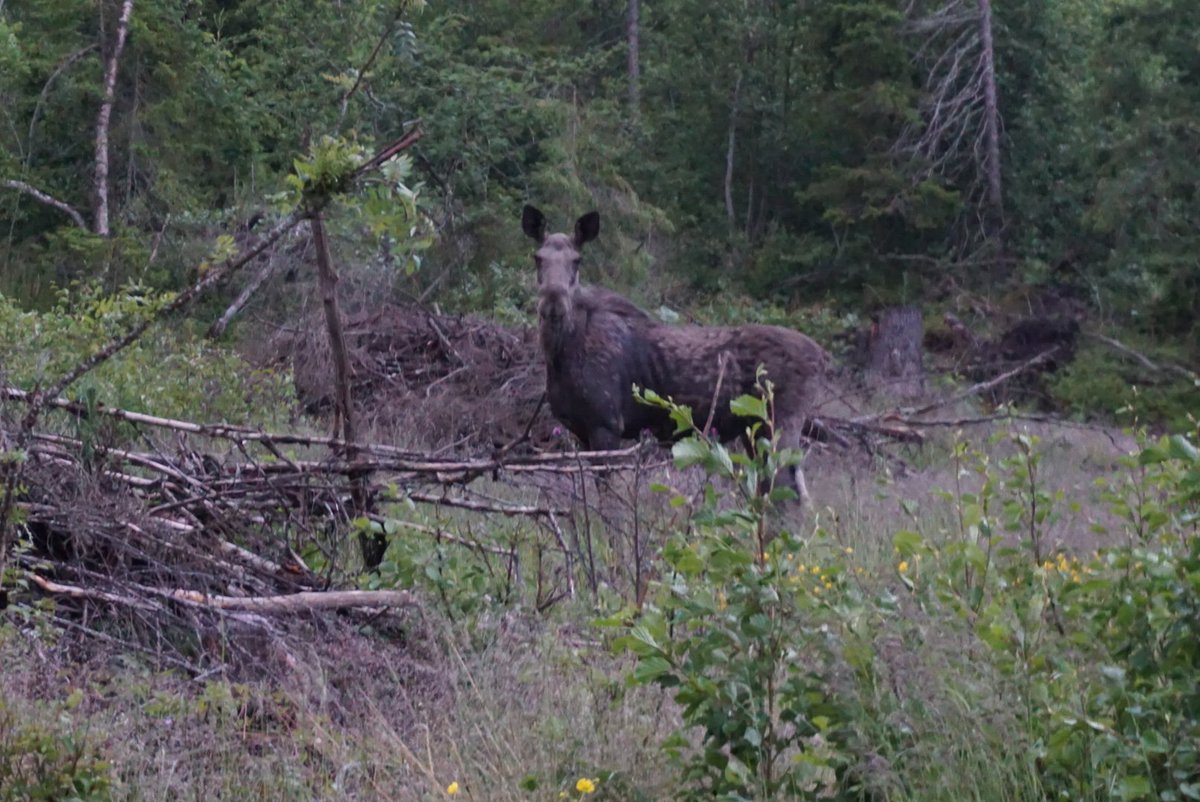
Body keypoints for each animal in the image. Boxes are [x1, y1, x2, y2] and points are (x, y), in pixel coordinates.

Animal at [523, 204, 830, 510]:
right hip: (753, 434)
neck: (560, 355)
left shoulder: (606, 424)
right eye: (538, 258)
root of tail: (822, 357)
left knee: (791, 497)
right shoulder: (581, 430)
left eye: (577, 260)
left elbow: (607, 497)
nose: (553, 304)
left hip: (779, 427)